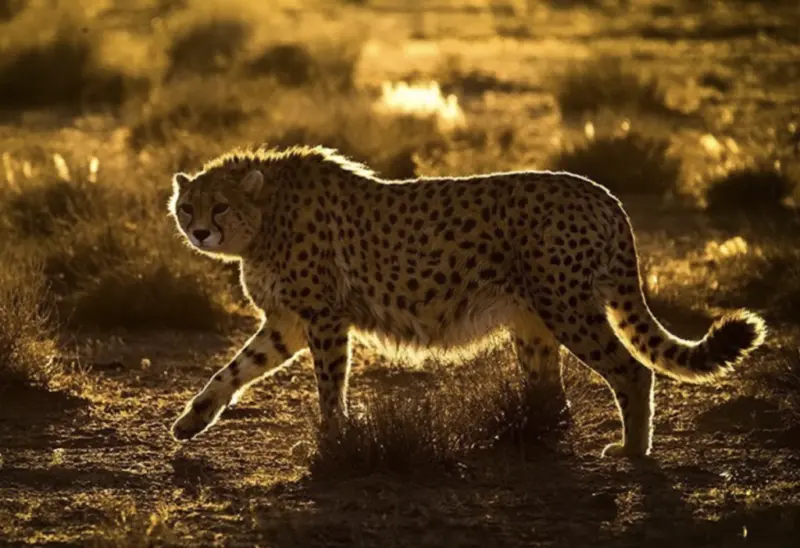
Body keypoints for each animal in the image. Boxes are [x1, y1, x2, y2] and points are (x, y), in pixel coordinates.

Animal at [167, 145, 766, 458]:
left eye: (220, 206)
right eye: (188, 205)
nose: (199, 232)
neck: (265, 217)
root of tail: (603, 192)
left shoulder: (324, 318)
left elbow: (329, 384)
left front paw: (333, 439)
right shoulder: (289, 322)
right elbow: (234, 368)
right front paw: (192, 420)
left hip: (568, 308)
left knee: (632, 371)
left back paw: (632, 451)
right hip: (532, 321)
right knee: (552, 393)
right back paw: (532, 439)